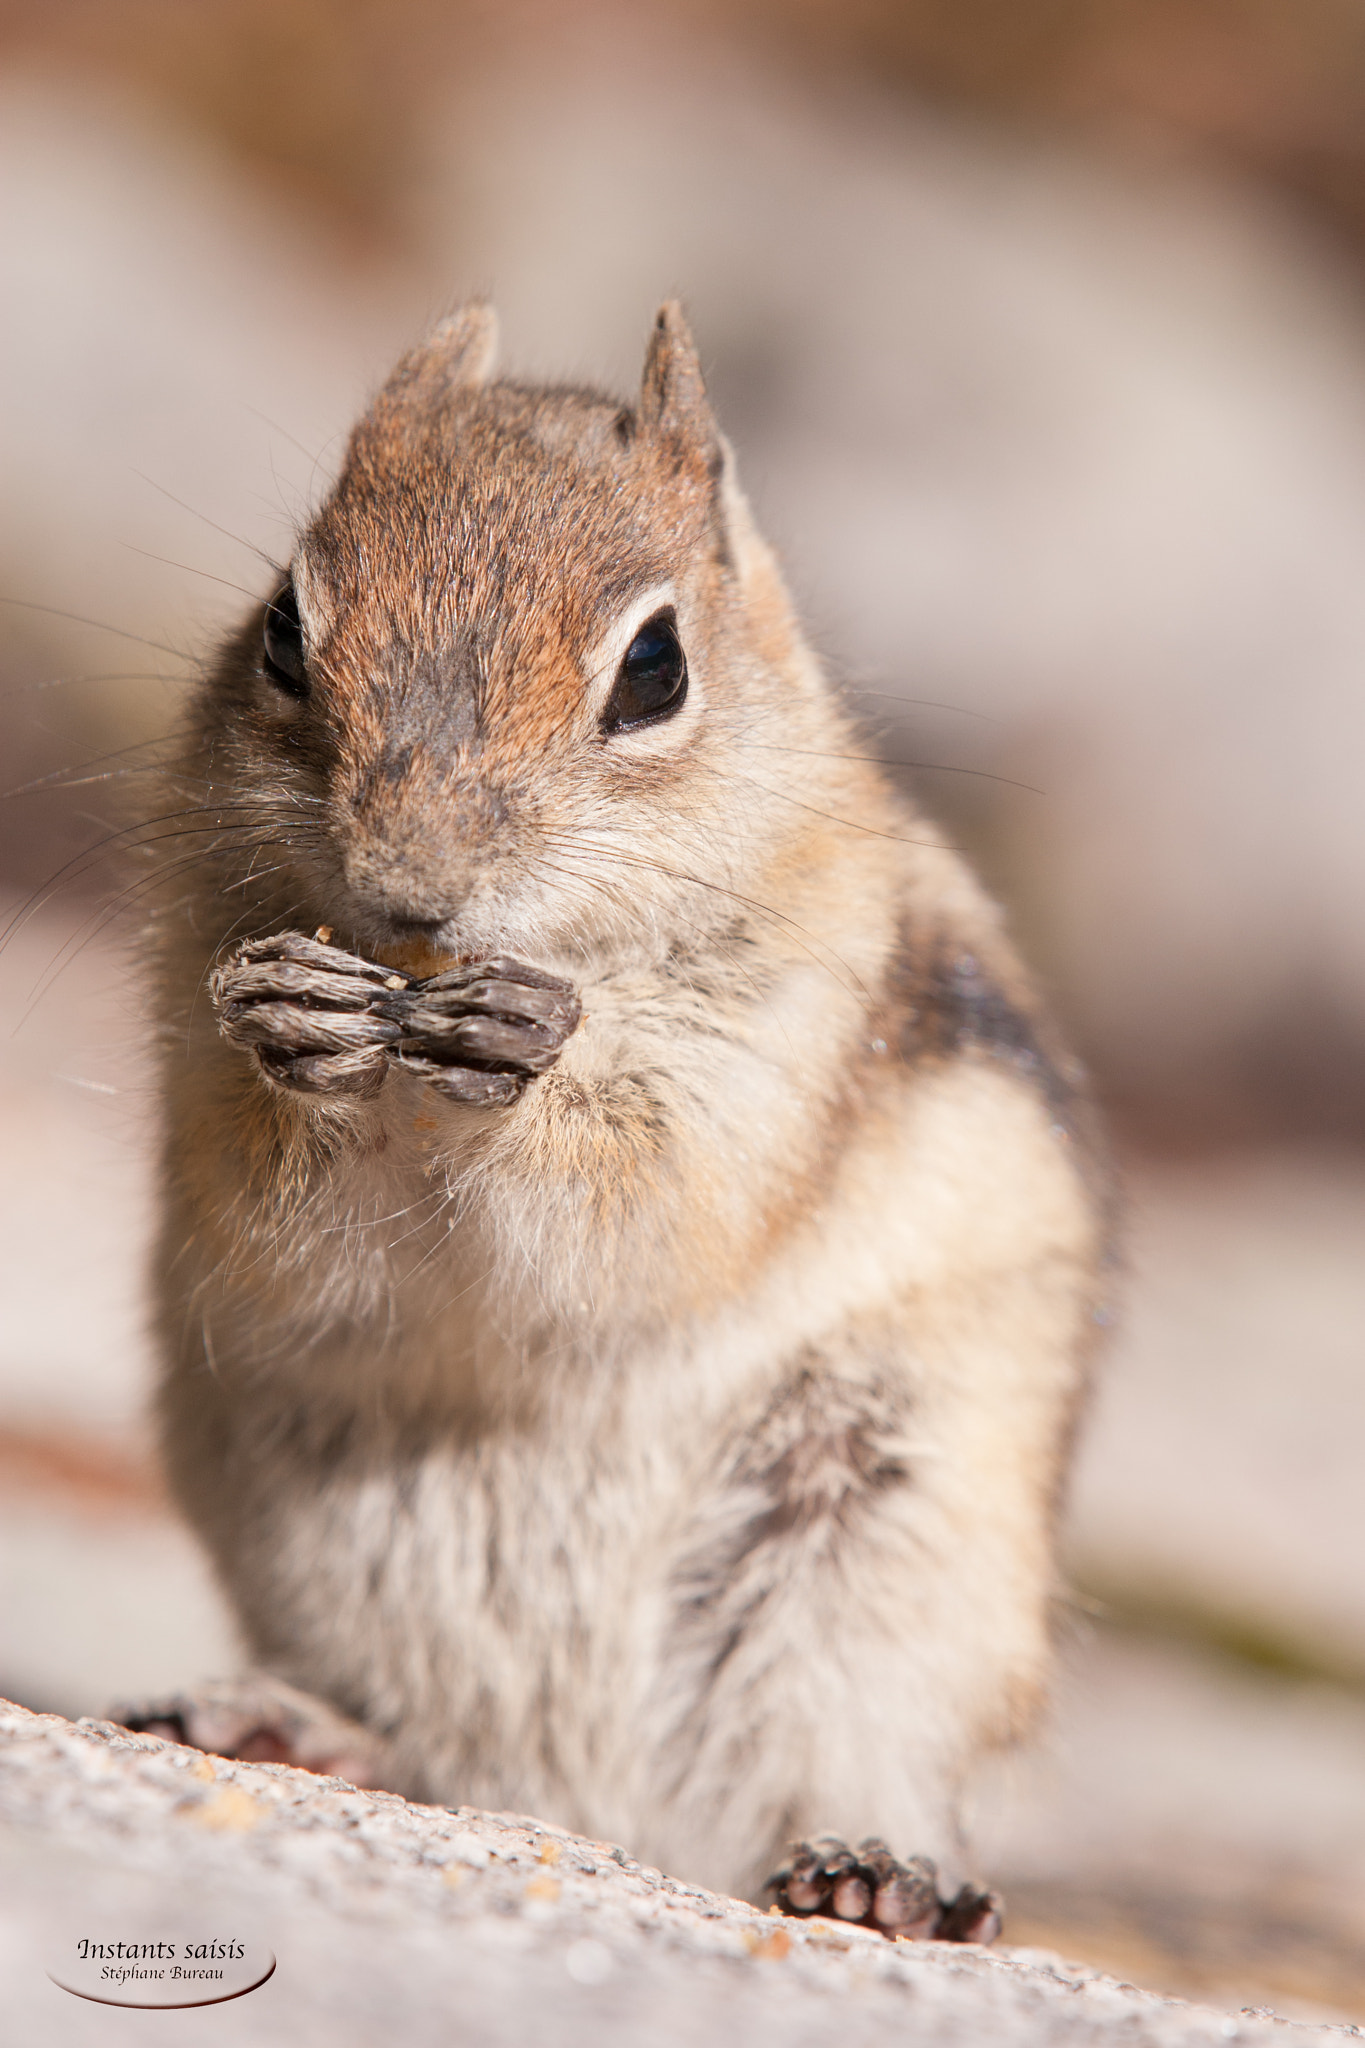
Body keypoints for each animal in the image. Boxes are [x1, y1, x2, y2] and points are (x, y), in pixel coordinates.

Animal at [125, 302, 1109, 1938]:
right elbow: (273, 1204)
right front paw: (293, 1029)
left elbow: (653, 1193)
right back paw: (293, 1723)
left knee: (855, 1744)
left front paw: (530, 1059)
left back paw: (879, 1874)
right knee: (430, 1738)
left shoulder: (787, 1037)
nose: (409, 888)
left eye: (654, 668)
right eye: (280, 629)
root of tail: (588, 1810)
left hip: (894, 1539)